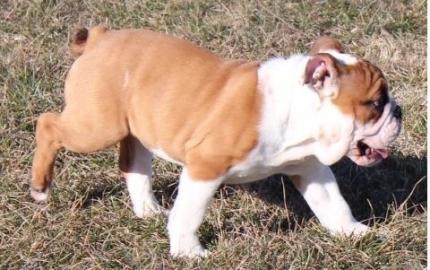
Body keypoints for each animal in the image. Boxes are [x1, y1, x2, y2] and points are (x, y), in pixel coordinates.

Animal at [31, 26, 404, 258]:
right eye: (374, 103)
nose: (399, 111)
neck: (297, 113)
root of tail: (100, 38)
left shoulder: (310, 168)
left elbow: (334, 204)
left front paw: (354, 233)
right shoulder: (205, 167)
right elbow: (189, 213)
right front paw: (188, 252)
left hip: (135, 128)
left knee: (133, 165)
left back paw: (148, 210)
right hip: (97, 126)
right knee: (48, 125)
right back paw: (40, 188)